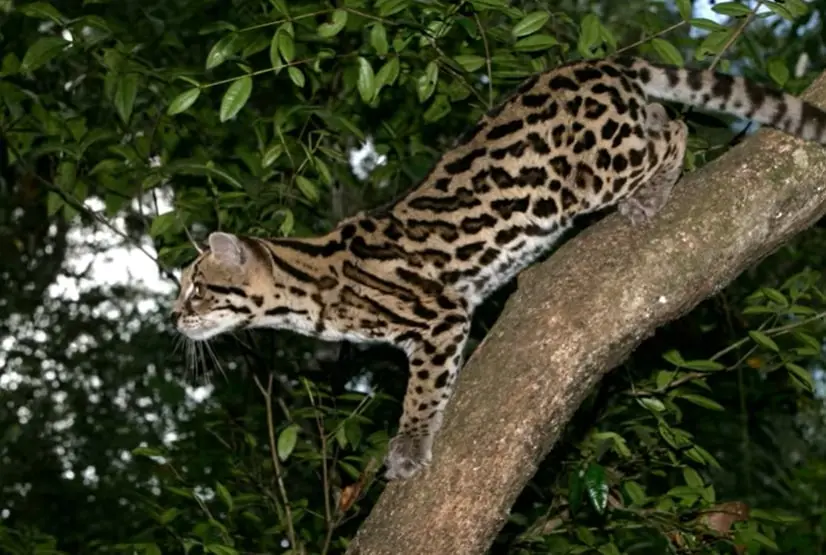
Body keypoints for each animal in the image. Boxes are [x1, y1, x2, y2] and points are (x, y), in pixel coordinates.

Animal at [171, 57, 824, 482]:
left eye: (199, 289)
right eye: (182, 291)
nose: (175, 319)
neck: (310, 282)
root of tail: (601, 62)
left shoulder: (439, 314)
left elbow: (421, 393)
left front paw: (409, 446)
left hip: (590, 174)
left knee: (673, 128)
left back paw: (655, 191)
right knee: (663, 114)